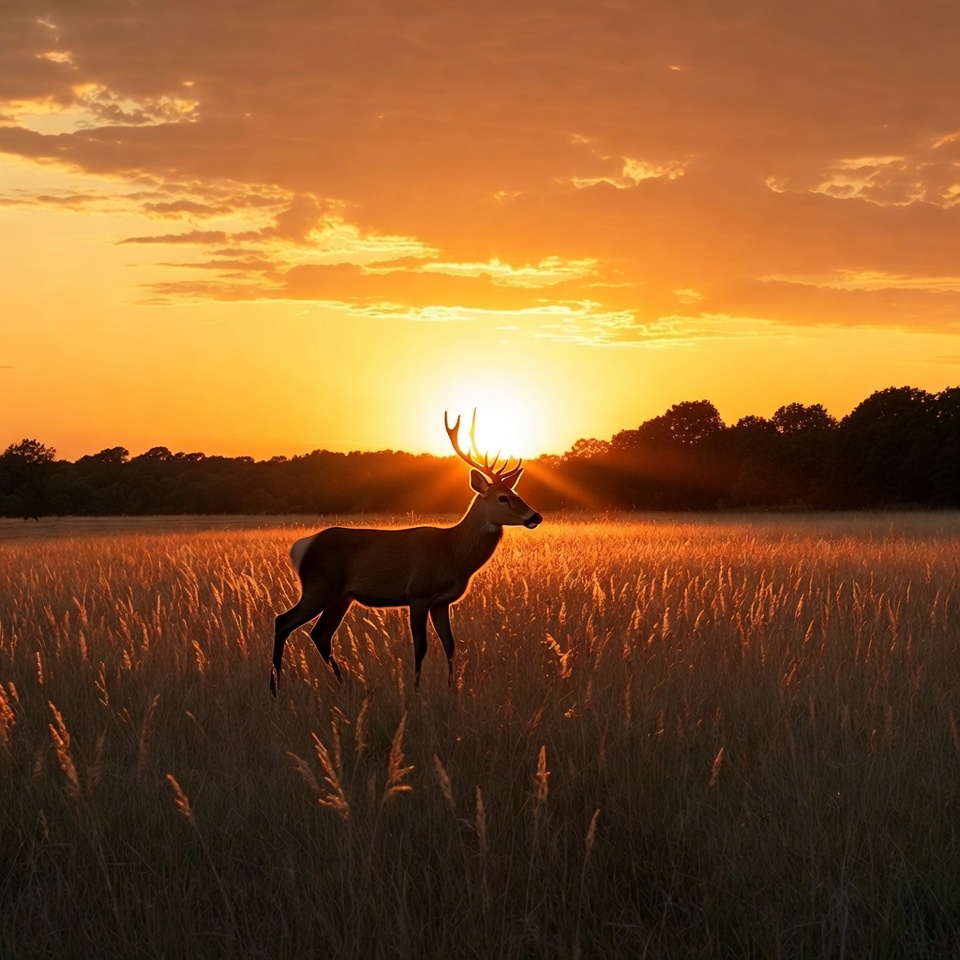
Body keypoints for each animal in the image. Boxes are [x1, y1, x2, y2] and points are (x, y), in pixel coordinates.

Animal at [270, 411, 542, 694]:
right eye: (502, 497)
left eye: (516, 492)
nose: (536, 516)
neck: (452, 553)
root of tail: (301, 548)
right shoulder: (418, 592)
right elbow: (420, 646)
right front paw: (416, 689)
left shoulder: (442, 601)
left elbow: (450, 645)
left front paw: (451, 689)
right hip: (320, 586)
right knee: (283, 621)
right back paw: (275, 689)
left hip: (342, 596)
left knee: (321, 635)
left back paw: (346, 684)